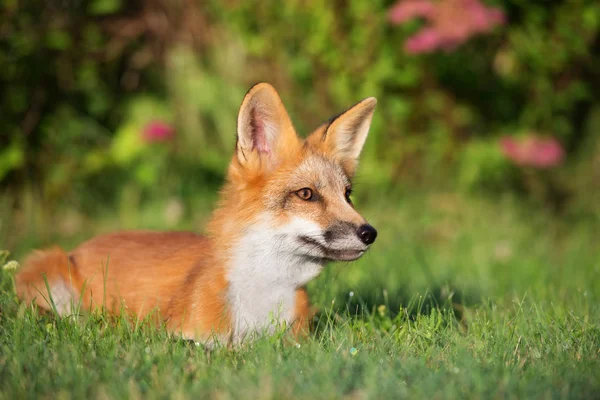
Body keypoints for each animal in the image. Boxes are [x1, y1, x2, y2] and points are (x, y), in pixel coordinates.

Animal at [14, 83, 378, 346]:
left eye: (347, 195)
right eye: (306, 194)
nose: (369, 233)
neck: (260, 302)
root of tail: (85, 244)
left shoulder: (297, 341)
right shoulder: (185, 337)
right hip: (53, 280)